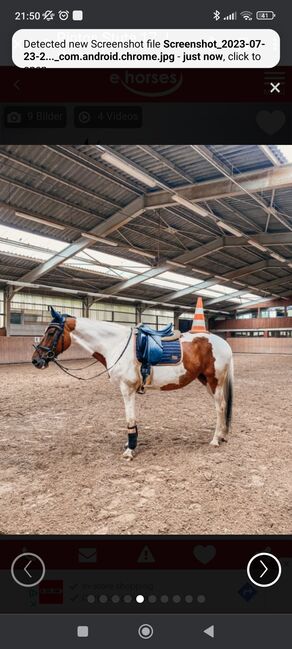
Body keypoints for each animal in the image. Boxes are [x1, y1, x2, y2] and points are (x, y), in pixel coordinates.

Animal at [32, 306, 234, 458]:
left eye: (51, 332)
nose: (36, 360)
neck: (116, 344)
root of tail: (223, 343)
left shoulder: (127, 389)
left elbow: (129, 418)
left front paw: (130, 448)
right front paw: (130, 444)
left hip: (214, 380)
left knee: (220, 407)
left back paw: (215, 440)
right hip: (206, 381)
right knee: (222, 406)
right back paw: (222, 435)